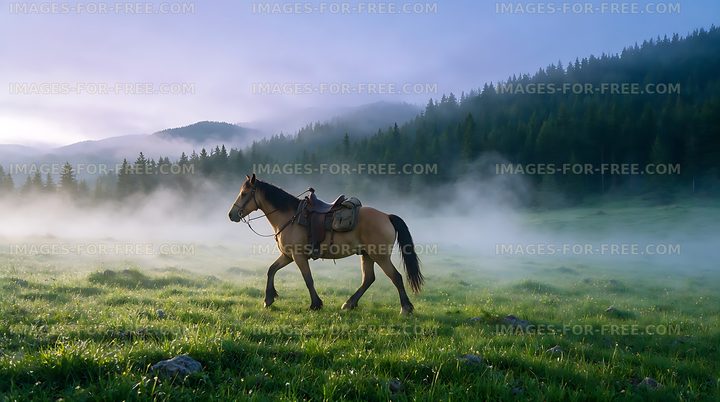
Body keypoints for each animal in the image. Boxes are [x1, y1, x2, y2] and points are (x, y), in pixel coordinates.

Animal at [228, 174, 423, 314]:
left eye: (244, 194)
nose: (231, 214)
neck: (290, 217)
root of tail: (387, 216)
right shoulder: (287, 256)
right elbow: (271, 270)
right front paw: (268, 299)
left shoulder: (298, 257)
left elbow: (308, 279)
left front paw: (315, 304)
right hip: (367, 255)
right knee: (368, 279)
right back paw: (349, 303)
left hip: (380, 256)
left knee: (395, 277)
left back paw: (405, 308)